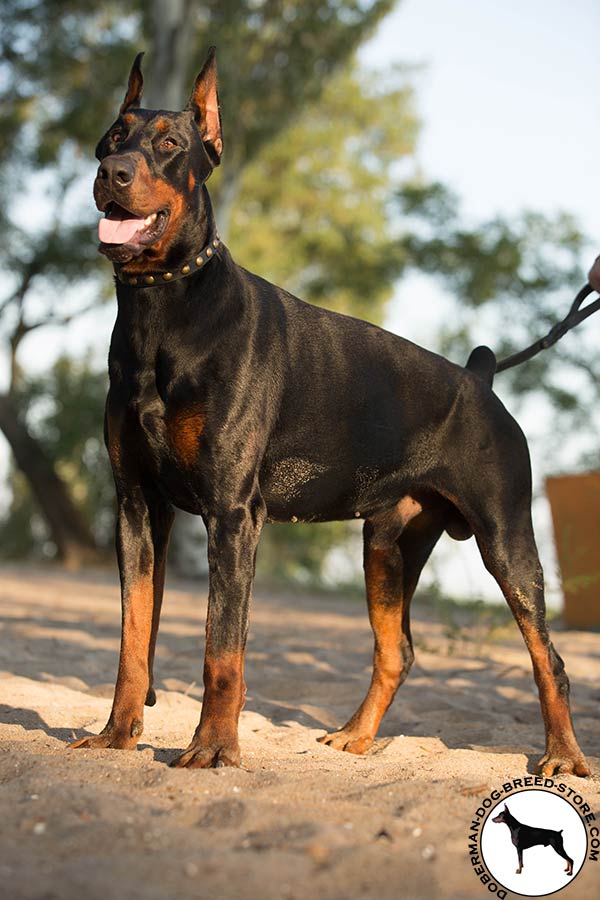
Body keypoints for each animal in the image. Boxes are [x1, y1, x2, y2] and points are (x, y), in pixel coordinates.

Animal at [70, 47, 592, 772]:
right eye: (112, 137)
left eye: (170, 144)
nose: (112, 173)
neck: (164, 309)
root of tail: (479, 379)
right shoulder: (137, 504)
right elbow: (132, 637)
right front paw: (118, 735)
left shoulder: (233, 512)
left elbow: (221, 648)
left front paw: (212, 748)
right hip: (388, 544)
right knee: (396, 650)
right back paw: (355, 737)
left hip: (507, 540)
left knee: (550, 660)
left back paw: (563, 756)